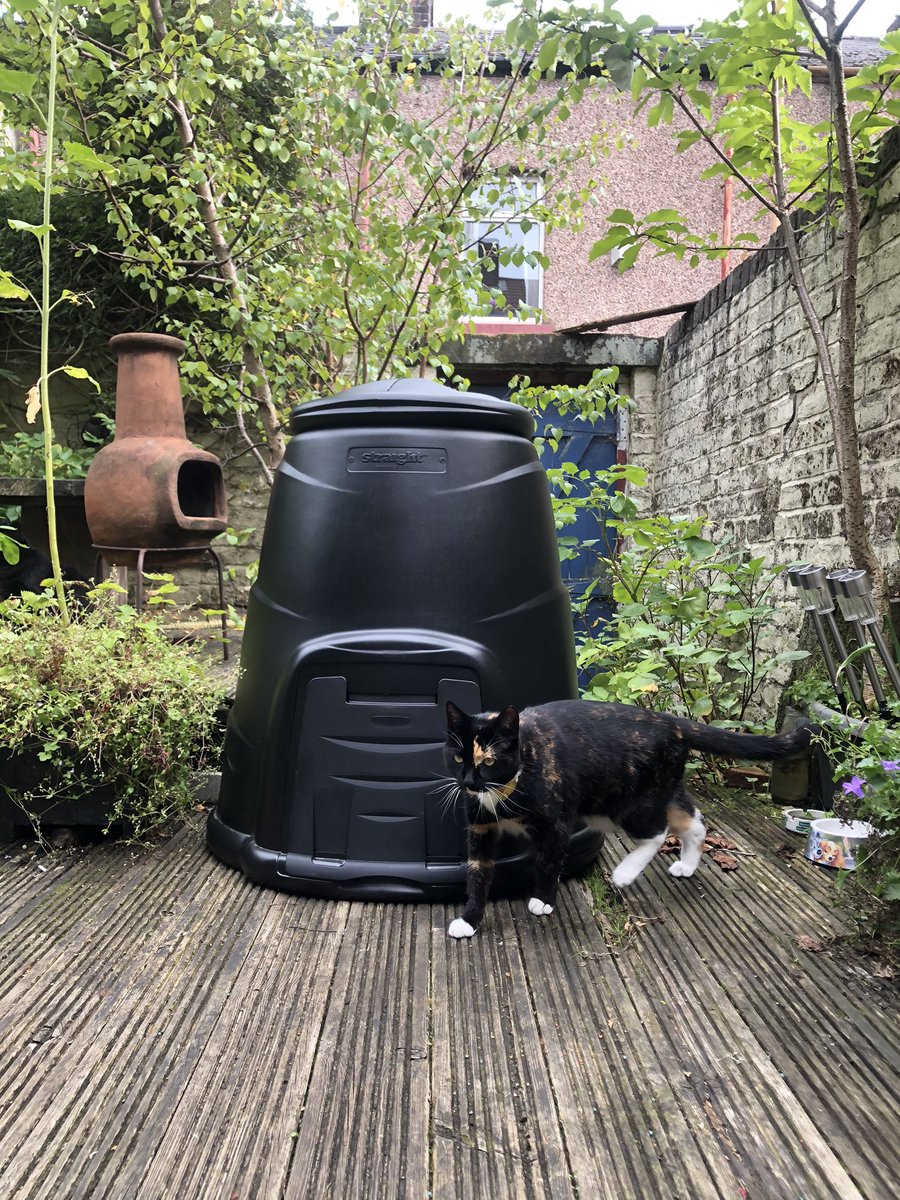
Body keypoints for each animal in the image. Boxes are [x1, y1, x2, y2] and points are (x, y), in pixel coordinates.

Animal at [443, 699, 811, 938]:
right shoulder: (480, 828)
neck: (503, 790)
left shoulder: (556, 825)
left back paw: (625, 873)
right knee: (693, 819)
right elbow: (478, 873)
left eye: (489, 761)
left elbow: (549, 862)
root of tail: (674, 722)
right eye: (459, 757)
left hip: (628, 805)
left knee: (659, 831)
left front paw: (543, 900)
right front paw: (470, 918)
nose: (468, 782)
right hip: (655, 790)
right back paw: (687, 865)